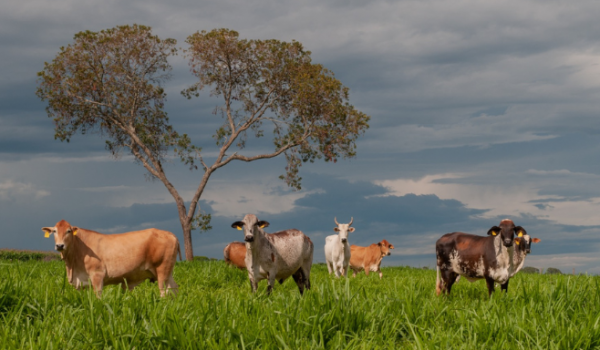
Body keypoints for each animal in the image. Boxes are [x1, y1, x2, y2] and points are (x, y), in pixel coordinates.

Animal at [42, 219, 179, 298]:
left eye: (69, 231)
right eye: (54, 231)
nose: (60, 245)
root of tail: (170, 234)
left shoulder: (97, 275)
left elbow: (98, 296)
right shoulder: (80, 282)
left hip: (162, 270)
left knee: (164, 292)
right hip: (168, 272)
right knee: (174, 288)